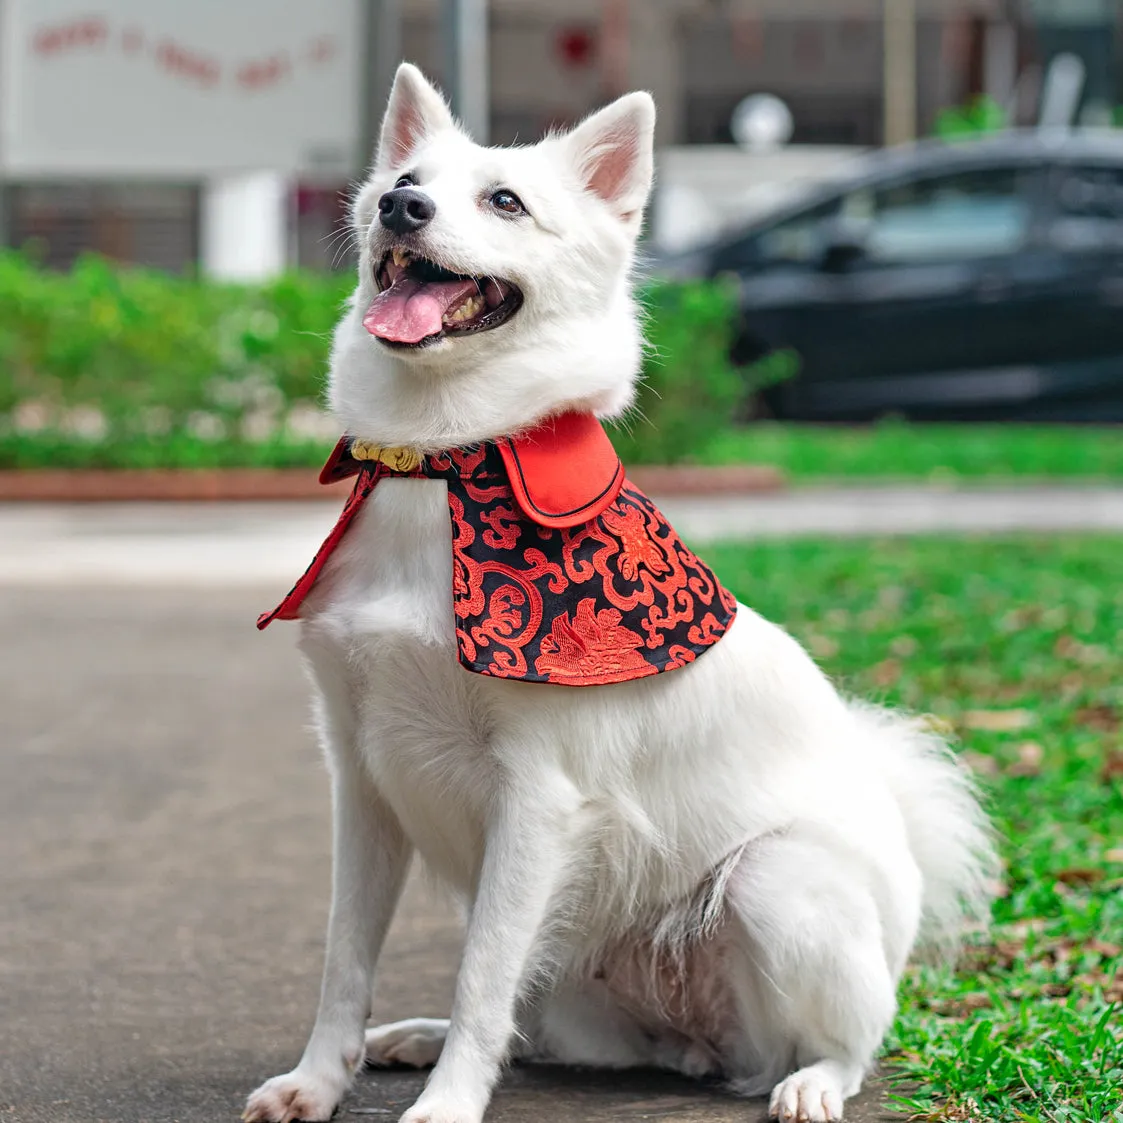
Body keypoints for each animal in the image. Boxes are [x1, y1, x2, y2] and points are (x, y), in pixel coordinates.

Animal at [243, 63, 992, 1123]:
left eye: (504, 201)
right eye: (403, 180)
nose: (399, 208)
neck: (445, 462)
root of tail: (689, 1042)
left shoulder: (537, 797)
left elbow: (481, 976)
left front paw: (446, 1103)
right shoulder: (362, 776)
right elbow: (345, 962)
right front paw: (316, 1082)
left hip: (773, 879)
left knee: (848, 1041)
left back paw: (810, 1081)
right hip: (573, 967)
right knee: (531, 1023)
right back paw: (420, 1037)